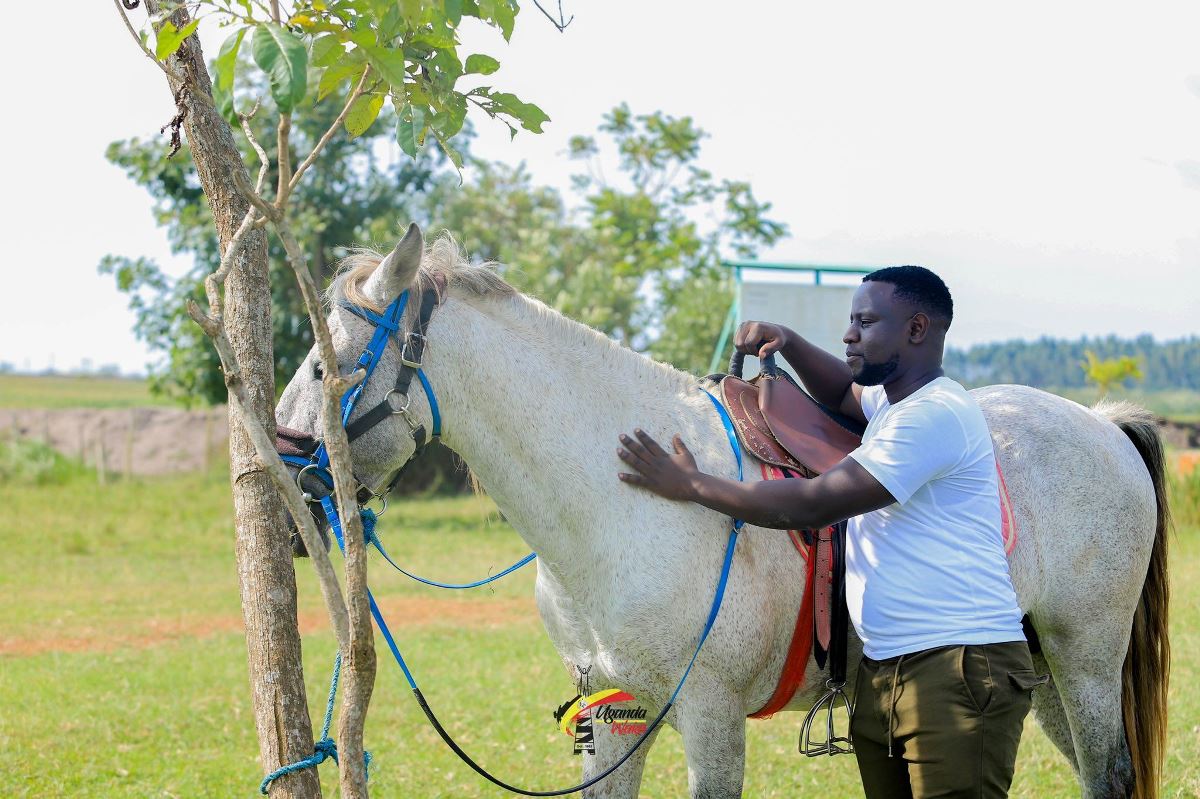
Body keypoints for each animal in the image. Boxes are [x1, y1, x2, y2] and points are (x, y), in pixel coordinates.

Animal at [276, 224, 1166, 796]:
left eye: (326, 364)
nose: (286, 490)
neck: (611, 509)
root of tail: (1100, 423)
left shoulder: (709, 716)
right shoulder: (614, 714)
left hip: (1085, 660)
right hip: (1039, 674)